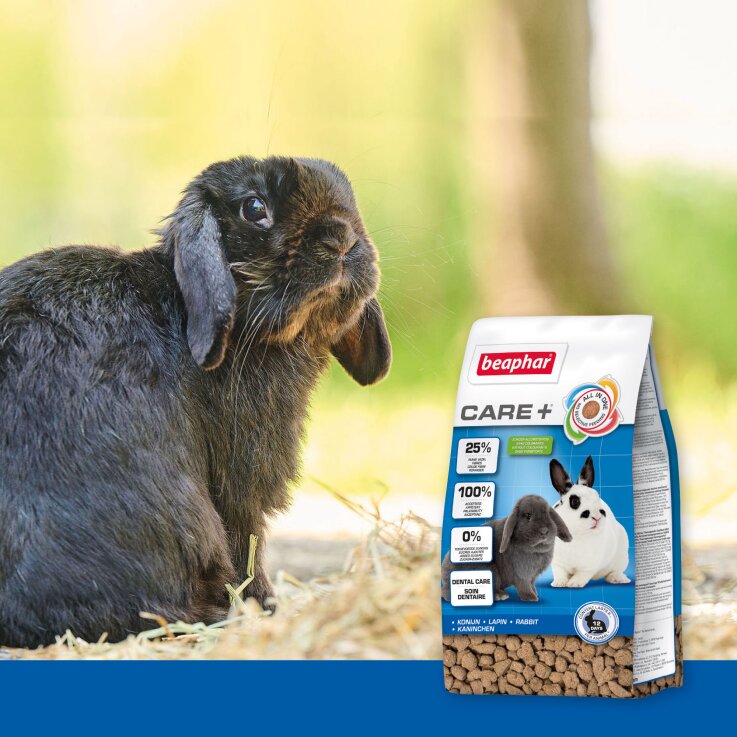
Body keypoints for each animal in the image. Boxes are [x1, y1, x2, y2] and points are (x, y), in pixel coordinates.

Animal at [441, 495, 571, 603]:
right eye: (528, 516)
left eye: (548, 514)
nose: (544, 531)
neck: (535, 549)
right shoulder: (521, 573)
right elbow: (524, 585)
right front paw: (531, 597)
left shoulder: (533, 575)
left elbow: (532, 584)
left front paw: (535, 593)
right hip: (489, 570)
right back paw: (500, 595)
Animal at [549, 456, 630, 588]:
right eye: (575, 501)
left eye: (597, 498)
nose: (597, 517)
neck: (576, 534)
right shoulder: (557, 562)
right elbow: (559, 572)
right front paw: (559, 583)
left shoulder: (589, 566)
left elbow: (582, 575)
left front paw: (574, 583)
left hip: (622, 557)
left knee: (615, 571)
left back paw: (618, 579)